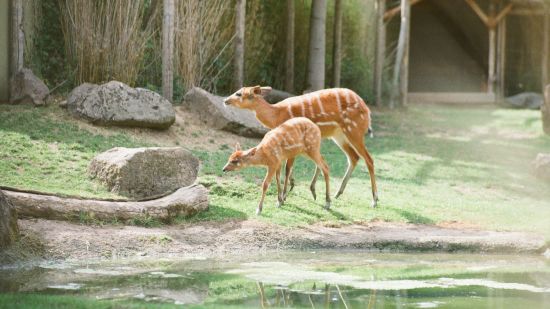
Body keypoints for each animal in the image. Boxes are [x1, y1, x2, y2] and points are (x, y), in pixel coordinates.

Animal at [225, 85, 380, 206]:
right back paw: (337, 193)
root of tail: (367, 110)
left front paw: (284, 197)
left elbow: (287, 168)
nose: (225, 100)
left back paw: (374, 199)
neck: (277, 114)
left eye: (239, 93)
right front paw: (290, 191)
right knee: (353, 157)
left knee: (368, 159)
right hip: (339, 135)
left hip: (354, 131)